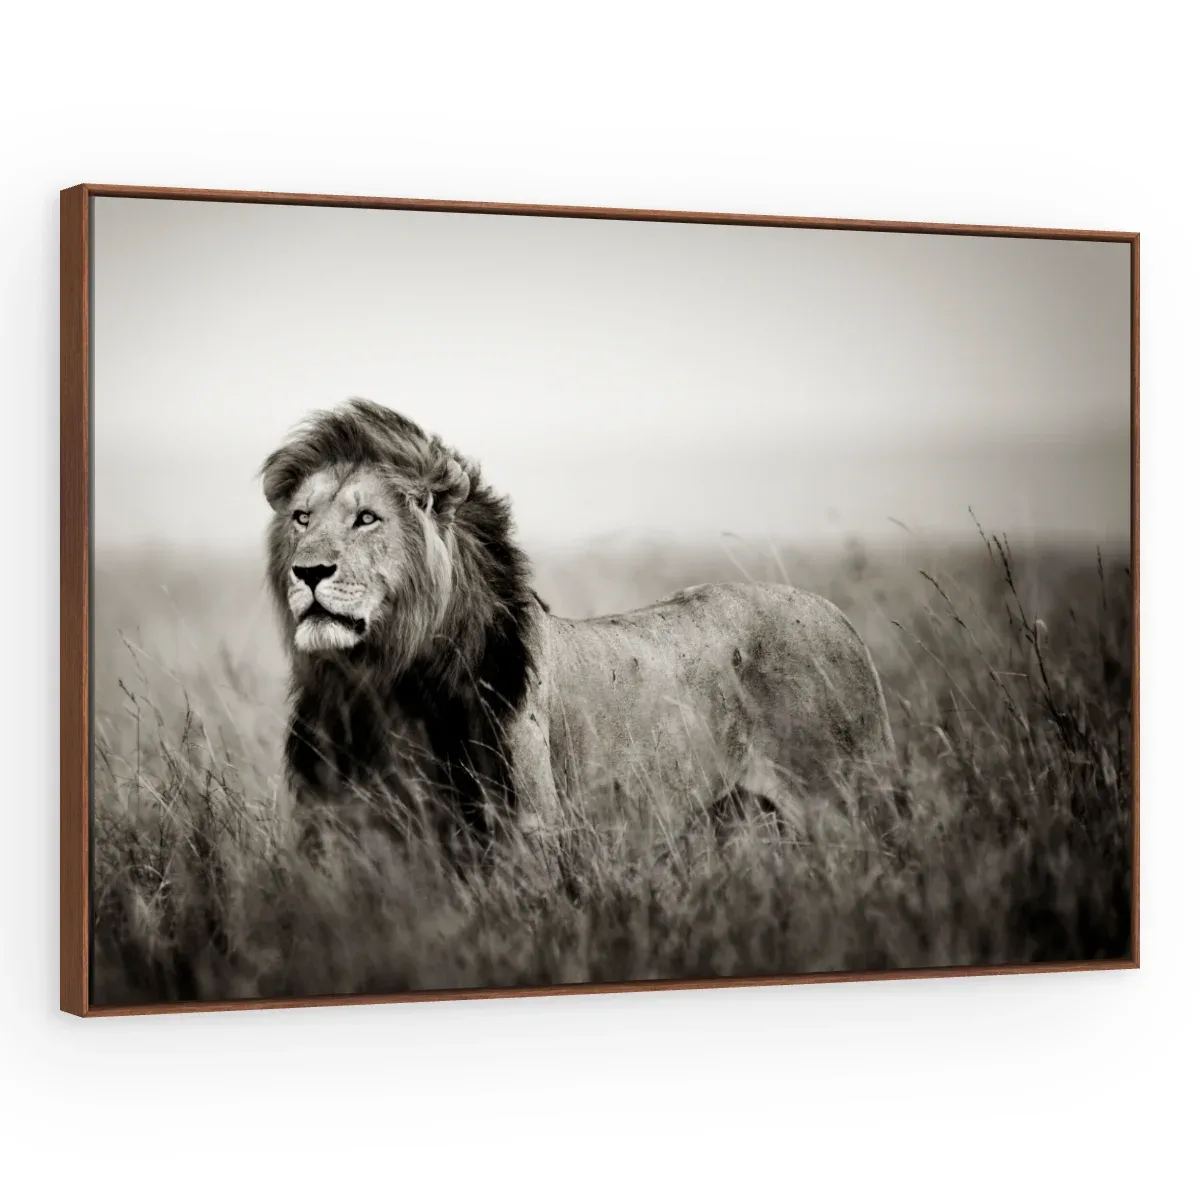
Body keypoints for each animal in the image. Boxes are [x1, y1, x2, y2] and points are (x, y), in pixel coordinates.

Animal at [262, 399, 896, 853]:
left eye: (367, 519)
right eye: (302, 518)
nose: (308, 571)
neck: (380, 683)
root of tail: (839, 616)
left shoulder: (527, 836)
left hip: (847, 804)